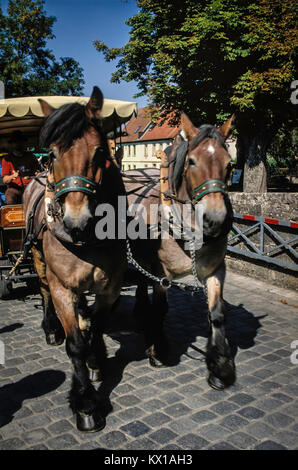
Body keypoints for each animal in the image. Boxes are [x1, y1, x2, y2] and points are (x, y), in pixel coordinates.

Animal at [22, 86, 127, 432]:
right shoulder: (62, 287)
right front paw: (85, 403)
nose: (75, 220)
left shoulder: (110, 286)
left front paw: (96, 359)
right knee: (43, 290)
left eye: (99, 152)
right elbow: (76, 344)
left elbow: (98, 325)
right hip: (38, 258)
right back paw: (51, 328)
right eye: (53, 154)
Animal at [124, 114, 236, 392]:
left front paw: (221, 368)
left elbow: (217, 313)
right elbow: (161, 308)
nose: (216, 221)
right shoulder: (162, 272)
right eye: (192, 161)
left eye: (229, 164)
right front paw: (159, 350)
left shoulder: (217, 270)